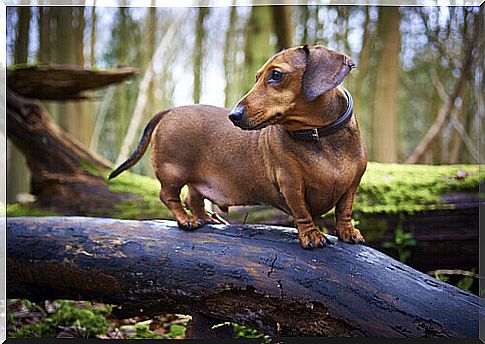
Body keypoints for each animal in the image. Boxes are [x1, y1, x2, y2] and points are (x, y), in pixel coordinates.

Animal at [109, 45, 366, 250]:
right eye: (257, 76)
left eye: (276, 75)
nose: (234, 115)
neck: (320, 137)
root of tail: (170, 110)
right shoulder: (291, 184)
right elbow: (302, 211)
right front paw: (311, 235)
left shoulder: (352, 184)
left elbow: (344, 209)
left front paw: (348, 232)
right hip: (173, 172)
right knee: (169, 196)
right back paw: (186, 220)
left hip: (195, 179)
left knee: (193, 198)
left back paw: (206, 218)